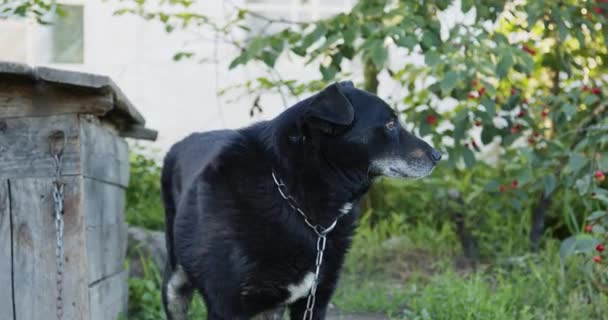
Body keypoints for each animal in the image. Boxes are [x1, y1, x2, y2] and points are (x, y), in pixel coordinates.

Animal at [159, 81, 440, 318]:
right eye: (391, 124)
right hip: (175, 285)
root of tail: (184, 141)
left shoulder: (315, 299)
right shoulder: (227, 306)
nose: (438, 155)